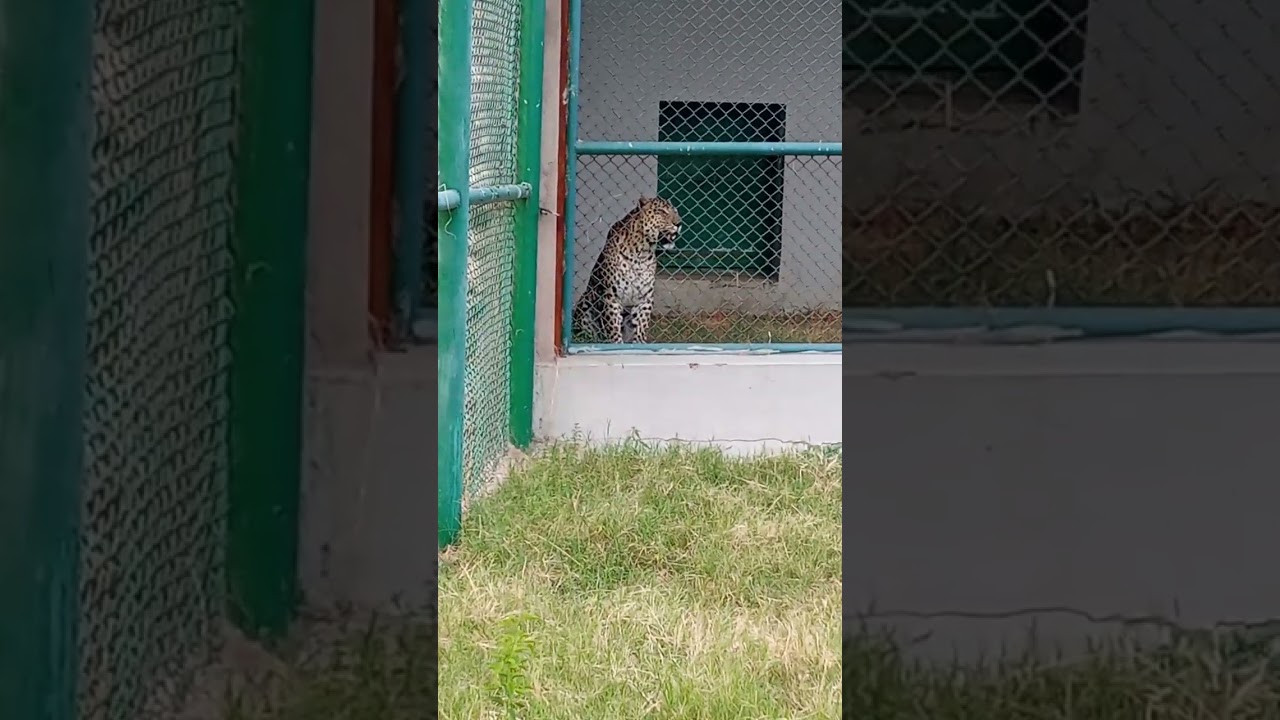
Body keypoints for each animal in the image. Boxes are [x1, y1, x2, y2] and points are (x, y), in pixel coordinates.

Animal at [572, 196, 682, 344]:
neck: (642, 252)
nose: (679, 224)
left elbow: (641, 327)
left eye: (675, 211)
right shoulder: (611, 298)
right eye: (661, 212)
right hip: (585, 303)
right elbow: (613, 331)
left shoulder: (645, 298)